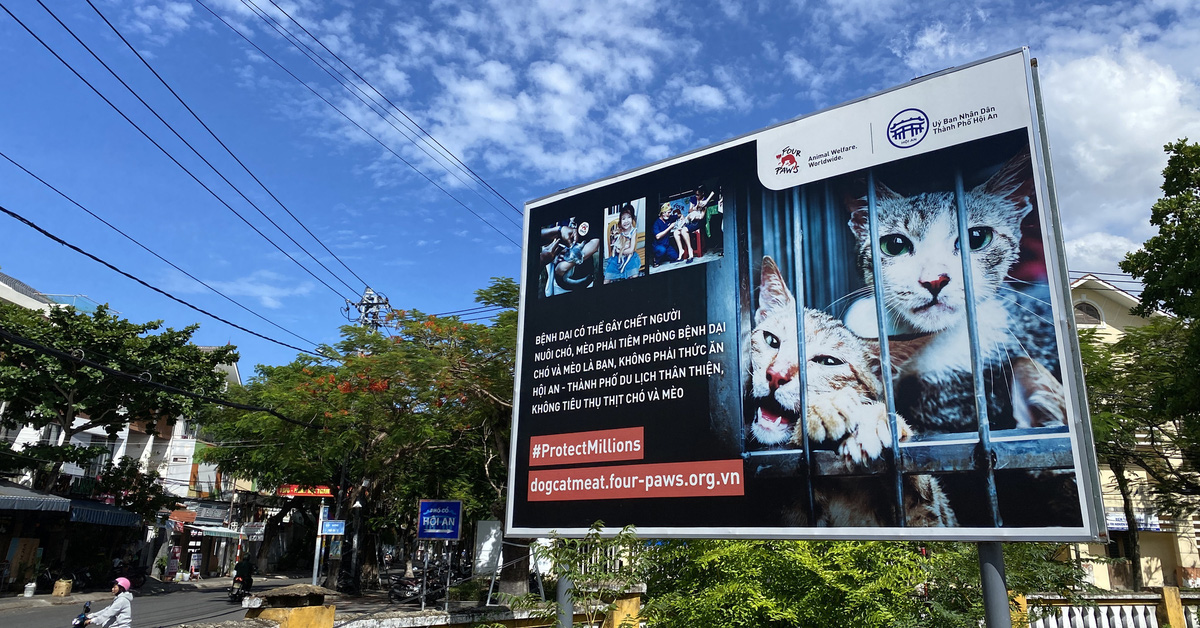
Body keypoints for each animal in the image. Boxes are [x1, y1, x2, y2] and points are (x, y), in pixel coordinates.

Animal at [748, 258, 955, 528]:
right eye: (771, 340)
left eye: (828, 361)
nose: (775, 375)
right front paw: (827, 407)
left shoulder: (933, 517)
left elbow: (923, 495)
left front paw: (872, 421)